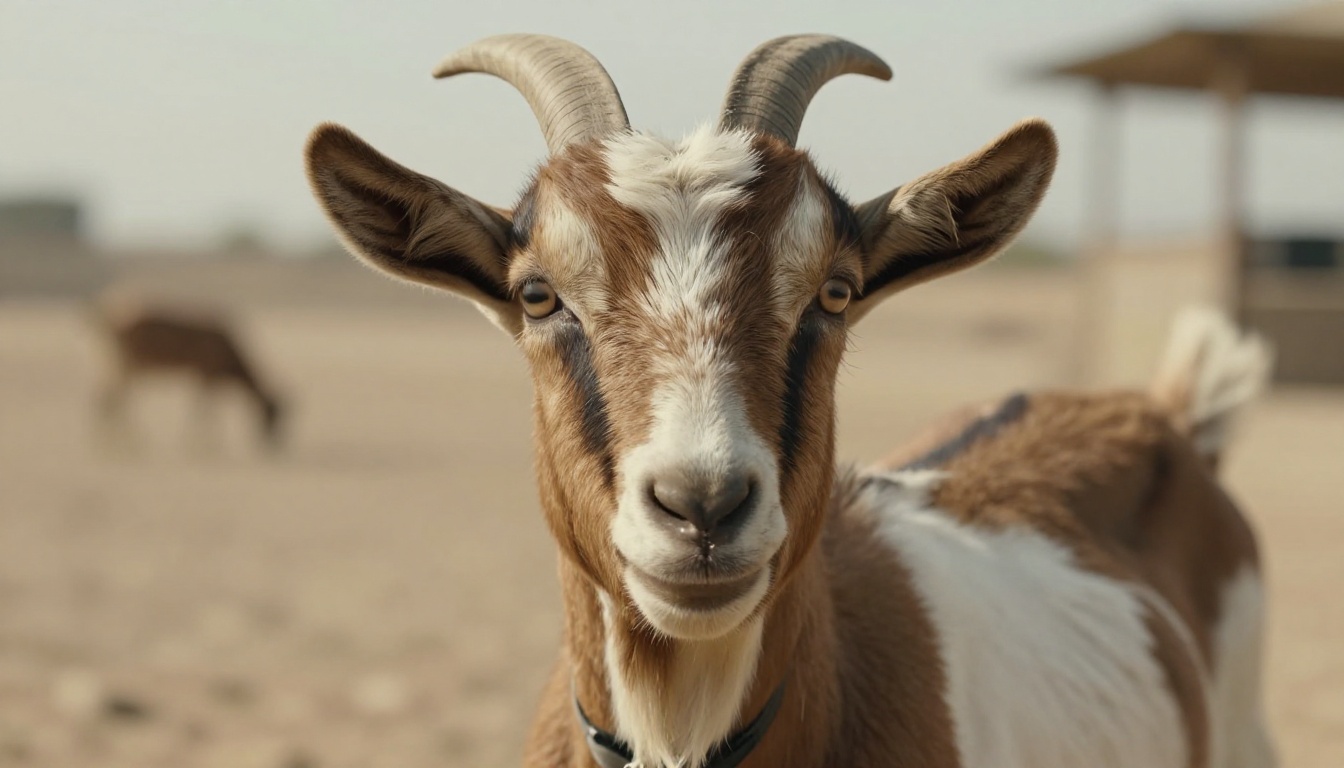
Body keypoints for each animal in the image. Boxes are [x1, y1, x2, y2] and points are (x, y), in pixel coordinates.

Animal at [91, 290, 285, 450]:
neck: (229, 350)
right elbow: (205, 408)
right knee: (113, 397)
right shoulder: (207, 373)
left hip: (121, 365)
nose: (275, 444)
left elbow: (202, 407)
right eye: (271, 412)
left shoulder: (201, 375)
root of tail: (108, 317)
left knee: (108, 396)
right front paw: (207, 445)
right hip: (127, 364)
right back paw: (129, 441)